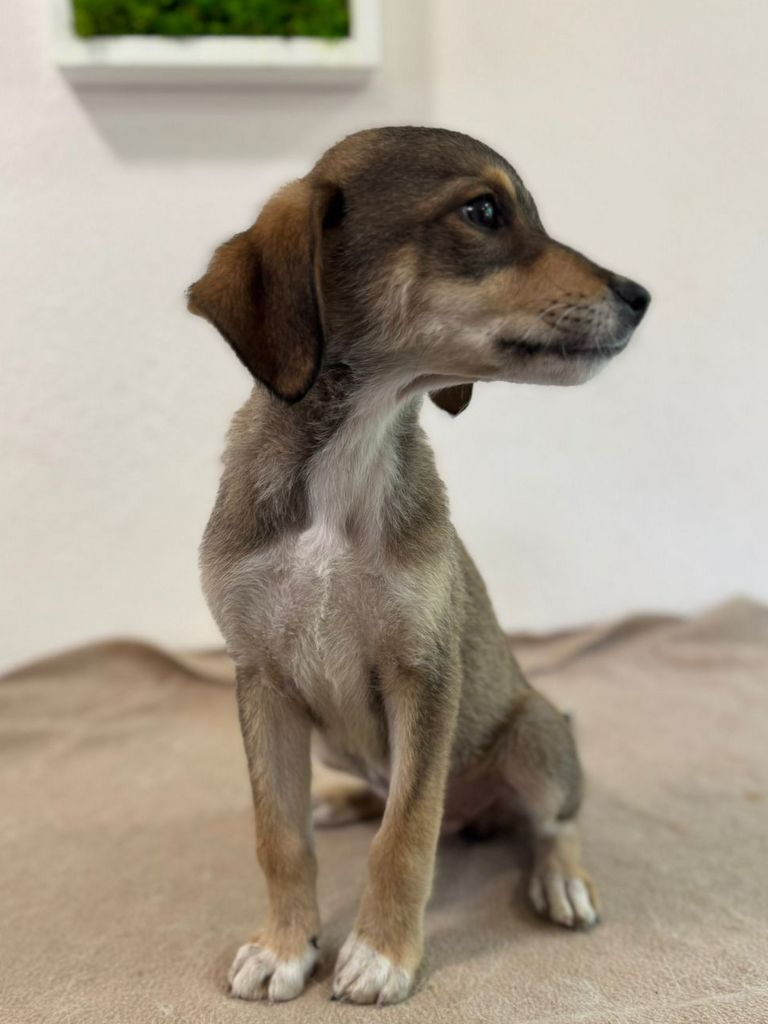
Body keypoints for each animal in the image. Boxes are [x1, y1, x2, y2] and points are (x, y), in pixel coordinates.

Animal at [187, 127, 650, 1006]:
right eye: (483, 211)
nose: (639, 295)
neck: (347, 463)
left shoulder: (423, 675)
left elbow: (406, 835)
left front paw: (381, 955)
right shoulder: (261, 677)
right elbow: (278, 833)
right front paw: (285, 946)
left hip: (536, 733)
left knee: (550, 821)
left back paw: (559, 879)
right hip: (334, 738)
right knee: (376, 793)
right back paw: (339, 799)